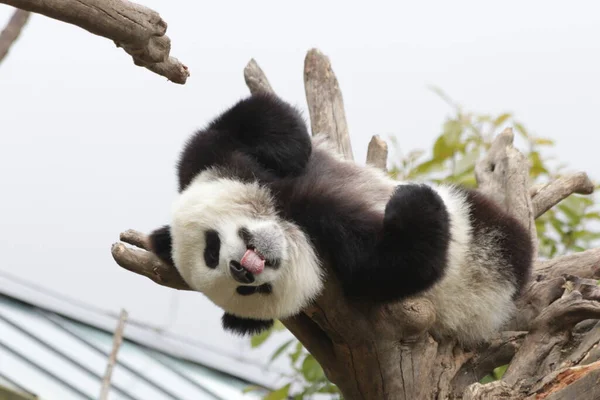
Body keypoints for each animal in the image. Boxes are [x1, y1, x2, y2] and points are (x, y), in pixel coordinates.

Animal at [149, 92, 536, 346]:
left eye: (210, 249)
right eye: (248, 291)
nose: (241, 269)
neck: (293, 227)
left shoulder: (211, 163)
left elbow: (254, 120)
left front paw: (288, 154)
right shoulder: (343, 278)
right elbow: (402, 265)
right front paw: (412, 204)